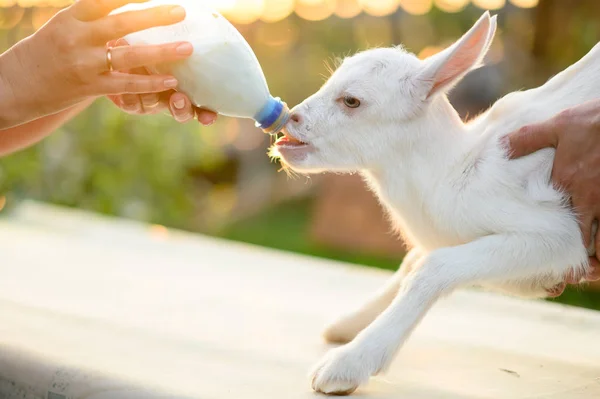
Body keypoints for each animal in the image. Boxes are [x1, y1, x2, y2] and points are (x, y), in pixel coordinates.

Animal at [270, 11, 600, 396]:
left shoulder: (560, 235)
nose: (291, 118)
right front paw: (347, 324)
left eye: (351, 101)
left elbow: (432, 267)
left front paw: (347, 364)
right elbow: (413, 260)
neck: (454, 172)